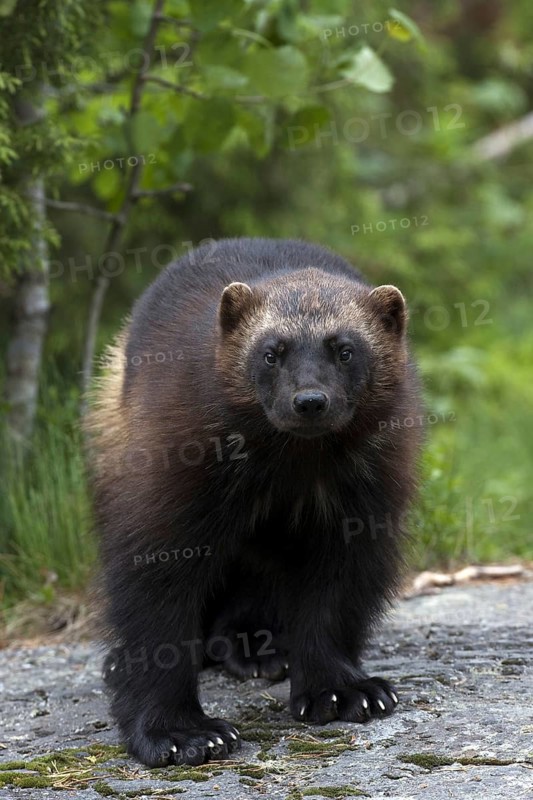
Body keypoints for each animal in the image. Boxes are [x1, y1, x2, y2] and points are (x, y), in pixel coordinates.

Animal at [85, 237, 422, 768]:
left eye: (346, 350)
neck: (293, 459)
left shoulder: (361, 493)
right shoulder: (176, 466)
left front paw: (342, 689)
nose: (310, 400)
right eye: (271, 353)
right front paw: (179, 731)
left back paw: (255, 646)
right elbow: (155, 594)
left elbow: (339, 585)